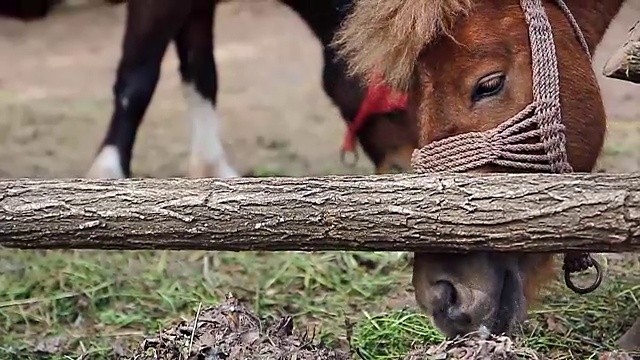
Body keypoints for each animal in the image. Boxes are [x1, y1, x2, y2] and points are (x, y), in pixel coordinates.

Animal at [82, 0, 418, 179]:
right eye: (398, 96)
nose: (407, 168)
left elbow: (203, 73)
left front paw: (211, 168)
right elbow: (138, 77)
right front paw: (109, 172)